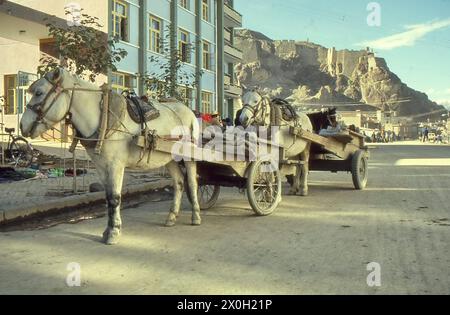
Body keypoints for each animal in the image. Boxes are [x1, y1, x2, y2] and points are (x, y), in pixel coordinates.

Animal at [20, 68, 200, 247]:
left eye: (39, 93)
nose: (22, 126)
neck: (103, 118)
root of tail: (189, 111)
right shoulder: (101, 166)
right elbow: (107, 197)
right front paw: (108, 230)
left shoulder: (115, 165)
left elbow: (115, 198)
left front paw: (113, 233)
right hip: (169, 158)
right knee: (179, 183)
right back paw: (171, 217)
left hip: (188, 157)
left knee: (192, 183)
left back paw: (196, 216)